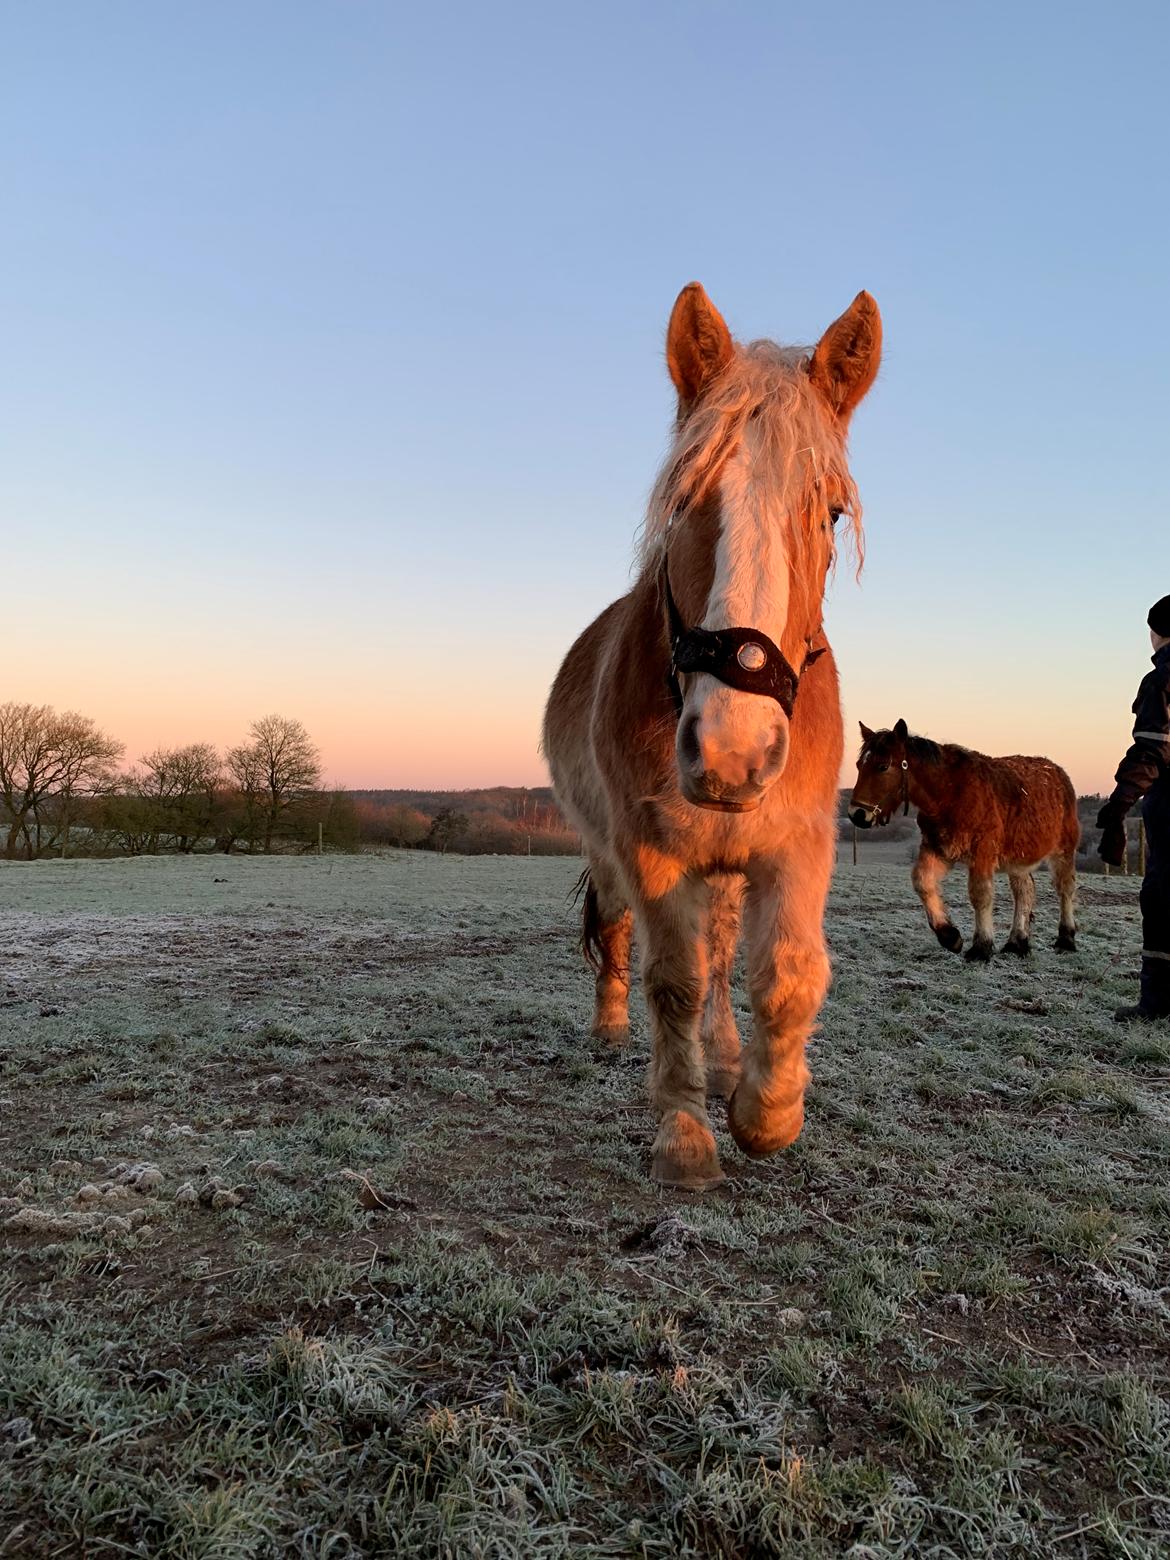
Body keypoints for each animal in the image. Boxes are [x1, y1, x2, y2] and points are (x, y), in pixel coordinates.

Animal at [546, 283, 886, 1179]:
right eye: (686, 499)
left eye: (830, 512)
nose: (734, 752)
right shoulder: (648, 851)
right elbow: (675, 978)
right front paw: (685, 1129)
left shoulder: (799, 841)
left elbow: (789, 974)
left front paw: (765, 1110)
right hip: (612, 852)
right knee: (622, 933)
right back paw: (611, 1029)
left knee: (728, 950)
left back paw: (731, 1057)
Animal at [854, 720, 1079, 960]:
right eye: (859, 765)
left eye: (883, 766)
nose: (856, 814)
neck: (950, 794)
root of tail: (1058, 772)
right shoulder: (937, 848)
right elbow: (922, 881)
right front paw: (949, 935)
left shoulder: (982, 853)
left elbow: (980, 895)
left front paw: (981, 947)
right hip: (1018, 857)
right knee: (1024, 890)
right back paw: (1017, 942)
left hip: (1063, 851)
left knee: (1065, 888)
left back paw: (1066, 938)